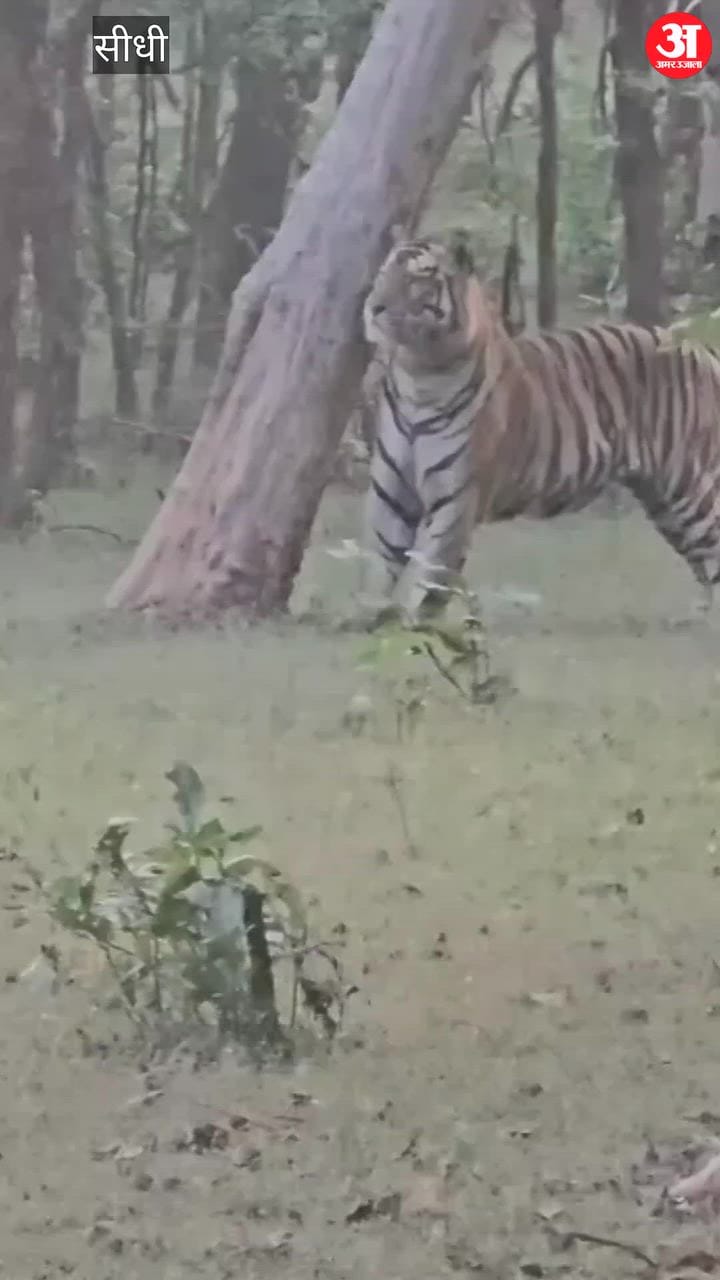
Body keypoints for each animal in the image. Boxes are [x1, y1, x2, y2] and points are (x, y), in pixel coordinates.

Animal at [361, 233, 720, 623]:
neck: (419, 374)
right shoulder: (391, 496)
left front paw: (417, 629)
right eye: (381, 273)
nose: (373, 307)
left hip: (692, 488)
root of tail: (699, 346)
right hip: (664, 505)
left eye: (419, 278)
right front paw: (374, 623)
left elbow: (429, 581)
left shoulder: (457, 502)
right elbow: (384, 574)